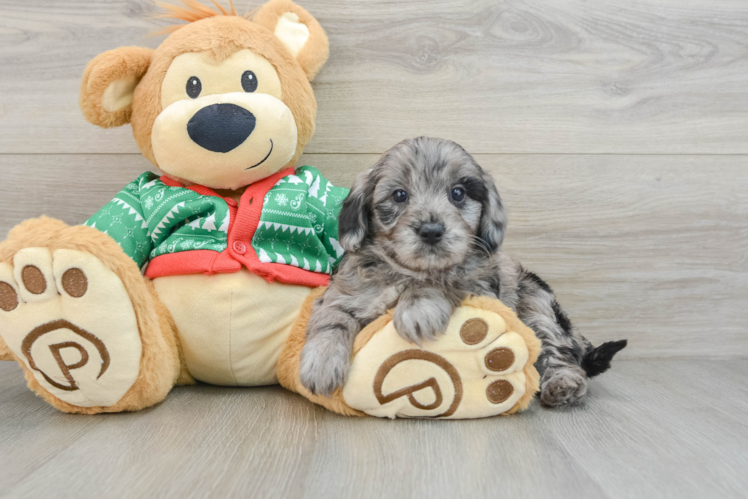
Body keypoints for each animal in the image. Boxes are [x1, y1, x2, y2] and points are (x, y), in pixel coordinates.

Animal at [298, 136, 624, 406]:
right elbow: (332, 319)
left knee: (558, 352)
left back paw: (563, 384)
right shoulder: (344, 293)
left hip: (537, 304)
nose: (431, 231)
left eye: (458, 193)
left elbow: (441, 282)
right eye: (399, 195)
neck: (407, 271)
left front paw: (418, 310)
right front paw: (321, 363)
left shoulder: (479, 286)